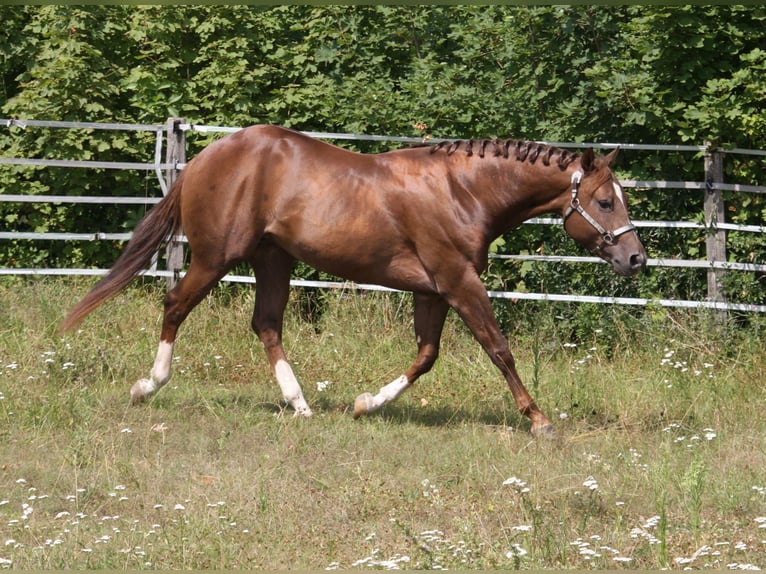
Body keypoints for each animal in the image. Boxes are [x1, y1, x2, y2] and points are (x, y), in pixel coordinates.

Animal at [62, 125, 646, 436]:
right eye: (603, 201)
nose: (636, 258)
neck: (462, 191)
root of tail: (207, 156)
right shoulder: (458, 281)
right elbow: (498, 348)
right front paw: (539, 419)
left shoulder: (433, 289)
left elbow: (426, 356)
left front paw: (367, 404)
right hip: (214, 257)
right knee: (175, 304)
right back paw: (147, 386)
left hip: (274, 259)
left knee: (266, 324)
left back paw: (300, 404)